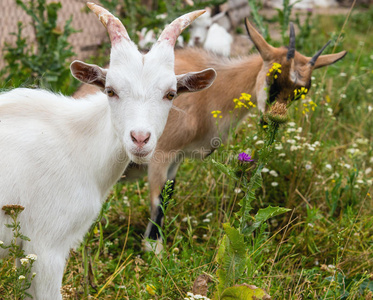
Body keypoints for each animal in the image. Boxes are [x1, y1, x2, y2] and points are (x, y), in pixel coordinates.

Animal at [0, 3, 215, 298]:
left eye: (170, 94)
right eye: (110, 91)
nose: (140, 138)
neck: (77, 145)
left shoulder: (26, 253)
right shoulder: (46, 245)